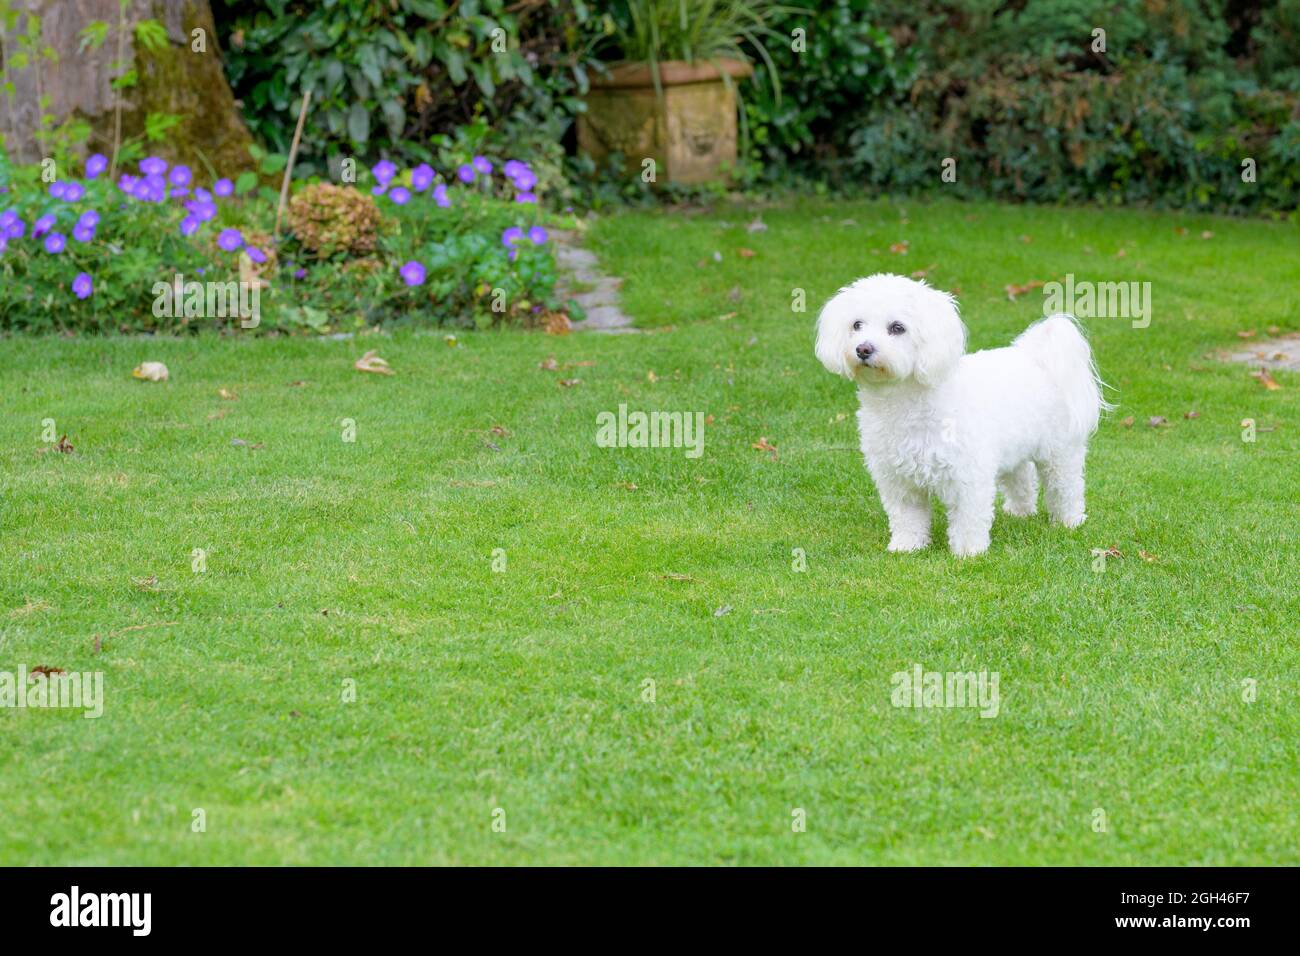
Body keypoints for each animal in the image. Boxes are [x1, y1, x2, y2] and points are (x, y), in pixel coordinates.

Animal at [811, 273, 1107, 556]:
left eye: (897, 328)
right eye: (856, 325)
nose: (863, 348)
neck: (905, 403)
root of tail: (1036, 356)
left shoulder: (969, 476)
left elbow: (968, 517)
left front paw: (968, 552)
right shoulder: (898, 481)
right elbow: (907, 517)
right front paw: (907, 546)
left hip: (1060, 452)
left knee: (1067, 486)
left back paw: (1070, 521)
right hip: (1015, 448)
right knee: (1021, 477)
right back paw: (1019, 511)